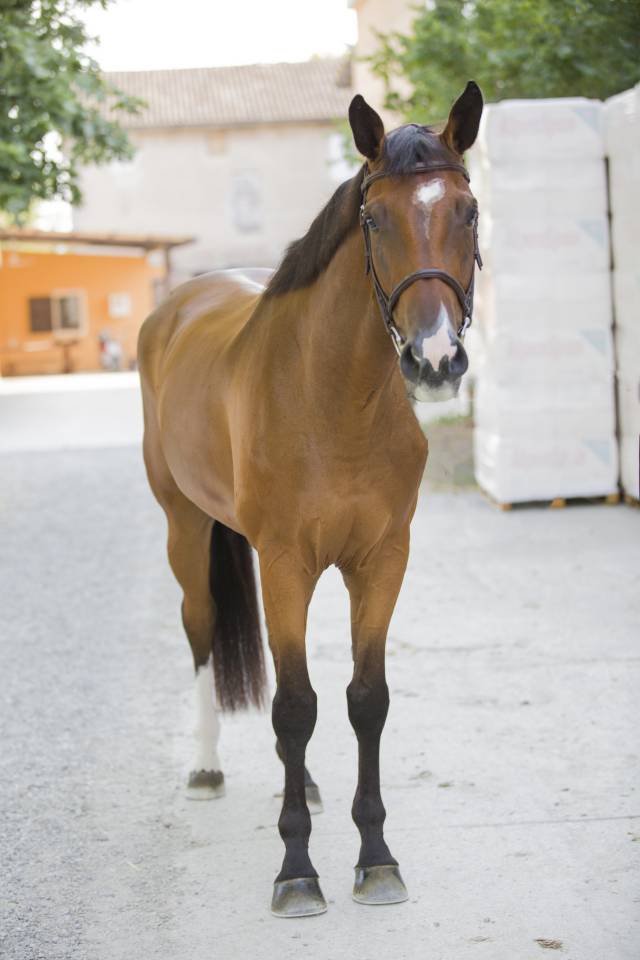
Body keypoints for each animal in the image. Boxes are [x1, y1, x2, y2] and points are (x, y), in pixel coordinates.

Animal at [138, 81, 484, 918]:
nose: (435, 360)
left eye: (467, 210)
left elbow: (363, 699)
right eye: (374, 218)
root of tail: (180, 302)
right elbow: (294, 706)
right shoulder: (287, 562)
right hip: (185, 527)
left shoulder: (382, 561)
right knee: (202, 630)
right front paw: (296, 870)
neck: (334, 401)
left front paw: (377, 857)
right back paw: (206, 769)